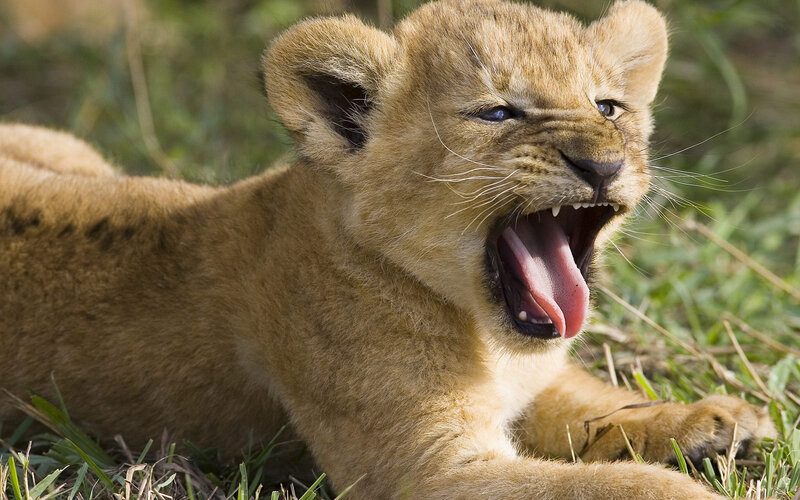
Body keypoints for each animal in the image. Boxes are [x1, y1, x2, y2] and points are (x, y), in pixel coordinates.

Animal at [0, 1, 776, 498]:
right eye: (498, 113)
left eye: (608, 107)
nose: (603, 164)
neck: (484, 333)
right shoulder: (425, 468)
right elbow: (624, 486)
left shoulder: (534, 382)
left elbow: (599, 405)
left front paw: (714, 423)